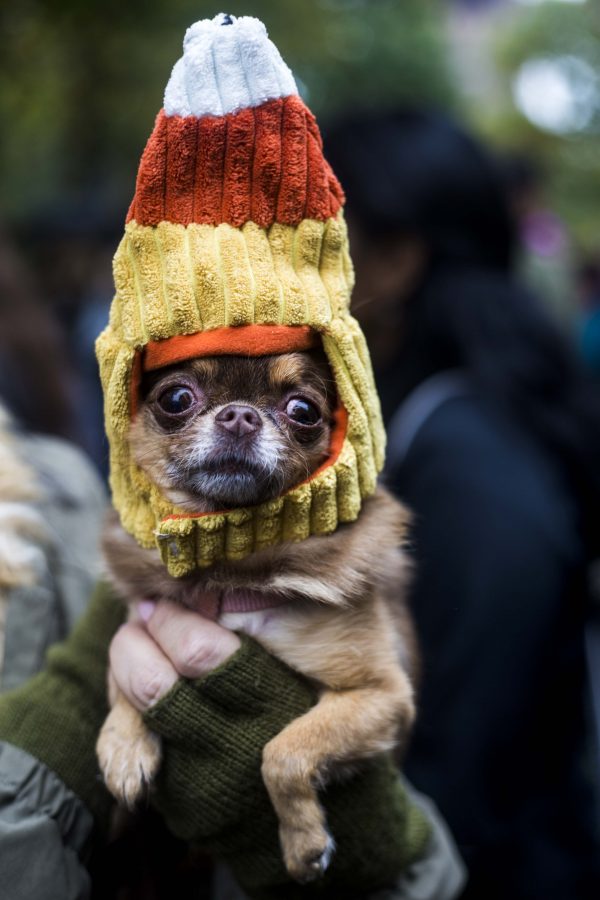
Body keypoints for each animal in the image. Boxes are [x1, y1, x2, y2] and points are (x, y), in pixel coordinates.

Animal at [98, 348, 418, 884]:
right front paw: (123, 747)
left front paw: (304, 843)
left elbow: (284, 751)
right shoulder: (140, 619)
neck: (228, 579)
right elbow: (117, 670)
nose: (240, 415)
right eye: (176, 398)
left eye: (304, 411)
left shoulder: (383, 696)